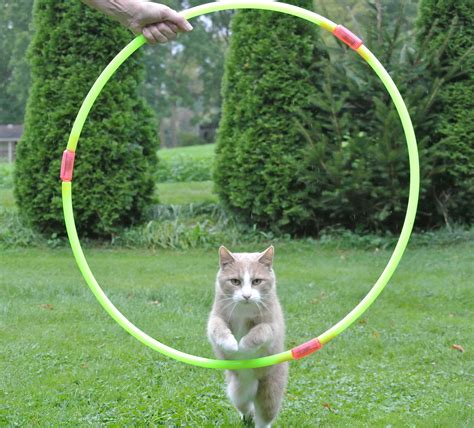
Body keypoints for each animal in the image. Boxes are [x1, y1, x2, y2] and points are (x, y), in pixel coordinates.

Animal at [208, 244, 288, 428]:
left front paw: (243, 345)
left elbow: (260, 330)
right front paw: (230, 343)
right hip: (236, 391)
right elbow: (217, 328)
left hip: (269, 391)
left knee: (264, 417)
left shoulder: (272, 325)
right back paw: (247, 416)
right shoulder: (215, 317)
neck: (243, 310)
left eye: (257, 281)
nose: (246, 295)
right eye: (235, 281)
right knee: (245, 406)